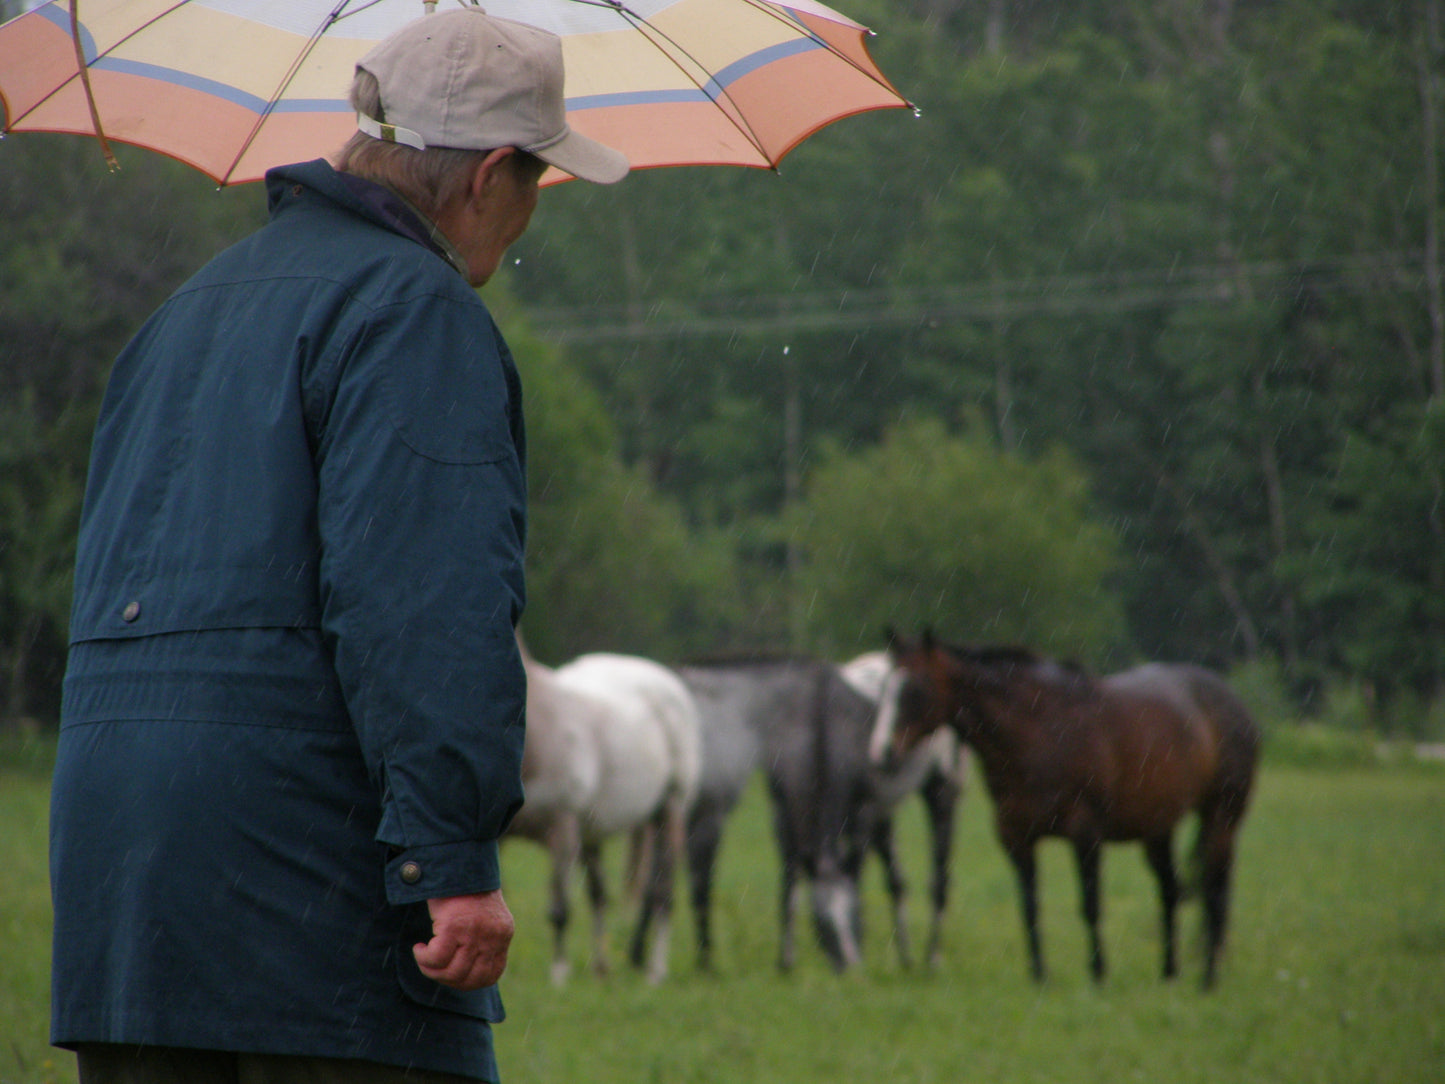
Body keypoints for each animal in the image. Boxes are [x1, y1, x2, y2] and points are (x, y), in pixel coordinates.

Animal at [505, 641, 702, 988]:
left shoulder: (563, 828)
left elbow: (559, 909)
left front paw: (559, 974)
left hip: (670, 812)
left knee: (662, 893)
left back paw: (656, 970)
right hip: (591, 835)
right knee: (599, 896)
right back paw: (600, 967)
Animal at [872, 627, 1260, 994]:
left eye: (916, 688)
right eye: (883, 689)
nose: (883, 753)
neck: (1039, 732)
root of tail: (1234, 702)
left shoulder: (1085, 835)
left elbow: (1090, 906)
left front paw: (1098, 975)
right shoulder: (1017, 841)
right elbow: (1029, 907)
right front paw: (1039, 976)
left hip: (1221, 818)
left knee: (1215, 893)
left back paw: (1208, 980)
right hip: (1157, 830)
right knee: (1170, 892)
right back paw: (1169, 975)